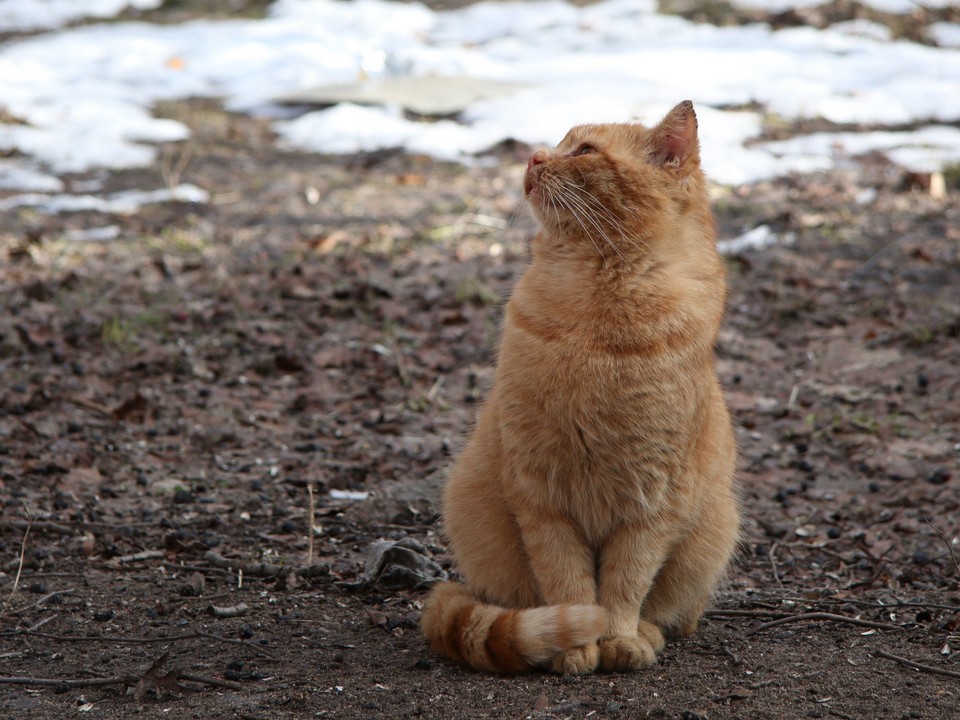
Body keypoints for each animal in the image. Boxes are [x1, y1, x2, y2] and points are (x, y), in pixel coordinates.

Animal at [416, 101, 740, 676]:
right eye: (559, 142)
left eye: (584, 151)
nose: (533, 156)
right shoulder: (541, 496)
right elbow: (566, 582)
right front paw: (575, 644)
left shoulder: (652, 505)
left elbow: (625, 584)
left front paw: (619, 638)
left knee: (676, 615)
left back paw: (649, 633)